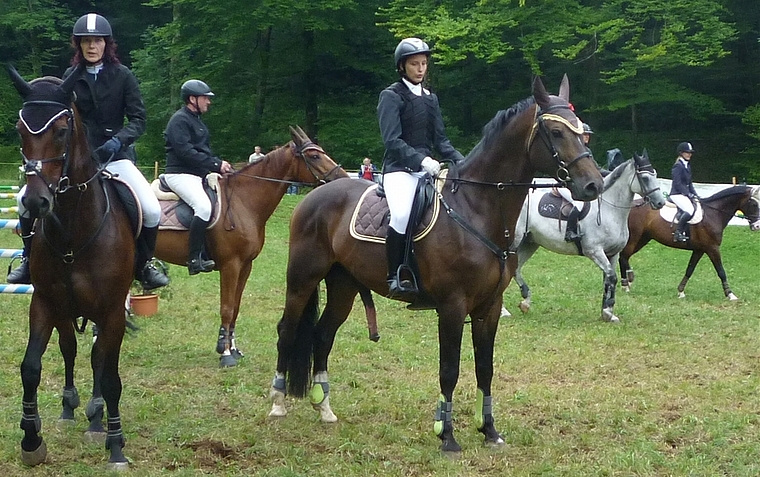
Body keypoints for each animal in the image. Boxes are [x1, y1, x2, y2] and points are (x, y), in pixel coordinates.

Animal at [10, 66, 134, 468]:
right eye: (20, 130)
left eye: (62, 131)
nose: (36, 202)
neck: (72, 231)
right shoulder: (45, 303)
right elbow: (31, 367)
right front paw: (31, 438)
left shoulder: (112, 312)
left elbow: (110, 377)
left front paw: (115, 444)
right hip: (66, 311)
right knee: (70, 348)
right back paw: (71, 408)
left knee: (98, 357)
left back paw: (96, 418)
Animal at [154, 124, 348, 366]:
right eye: (314, 156)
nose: (343, 177)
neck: (243, 201)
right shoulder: (230, 265)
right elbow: (227, 308)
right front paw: (225, 353)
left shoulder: (246, 265)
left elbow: (236, 307)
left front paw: (233, 348)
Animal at [270, 74, 604, 450]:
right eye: (558, 132)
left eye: (583, 132)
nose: (594, 184)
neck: (477, 208)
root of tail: (315, 194)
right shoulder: (452, 306)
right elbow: (450, 369)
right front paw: (446, 435)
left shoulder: (489, 307)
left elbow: (485, 369)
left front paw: (489, 431)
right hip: (302, 279)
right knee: (288, 329)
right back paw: (278, 402)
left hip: (343, 285)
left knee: (323, 334)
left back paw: (324, 408)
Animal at [616, 185, 760, 300]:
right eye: (754, 204)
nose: (757, 226)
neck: (713, 214)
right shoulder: (712, 248)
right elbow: (721, 271)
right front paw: (730, 294)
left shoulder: (699, 250)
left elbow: (690, 269)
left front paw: (681, 291)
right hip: (635, 237)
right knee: (623, 256)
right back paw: (626, 283)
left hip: (643, 238)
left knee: (624, 256)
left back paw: (628, 281)